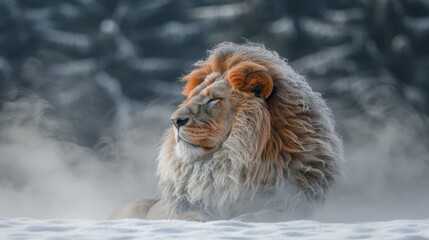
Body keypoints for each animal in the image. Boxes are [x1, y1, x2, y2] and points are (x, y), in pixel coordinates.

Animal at [108, 41, 342, 221]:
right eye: (191, 97)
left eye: (213, 100)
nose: (175, 120)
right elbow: (185, 215)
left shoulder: (293, 204)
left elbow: (265, 215)